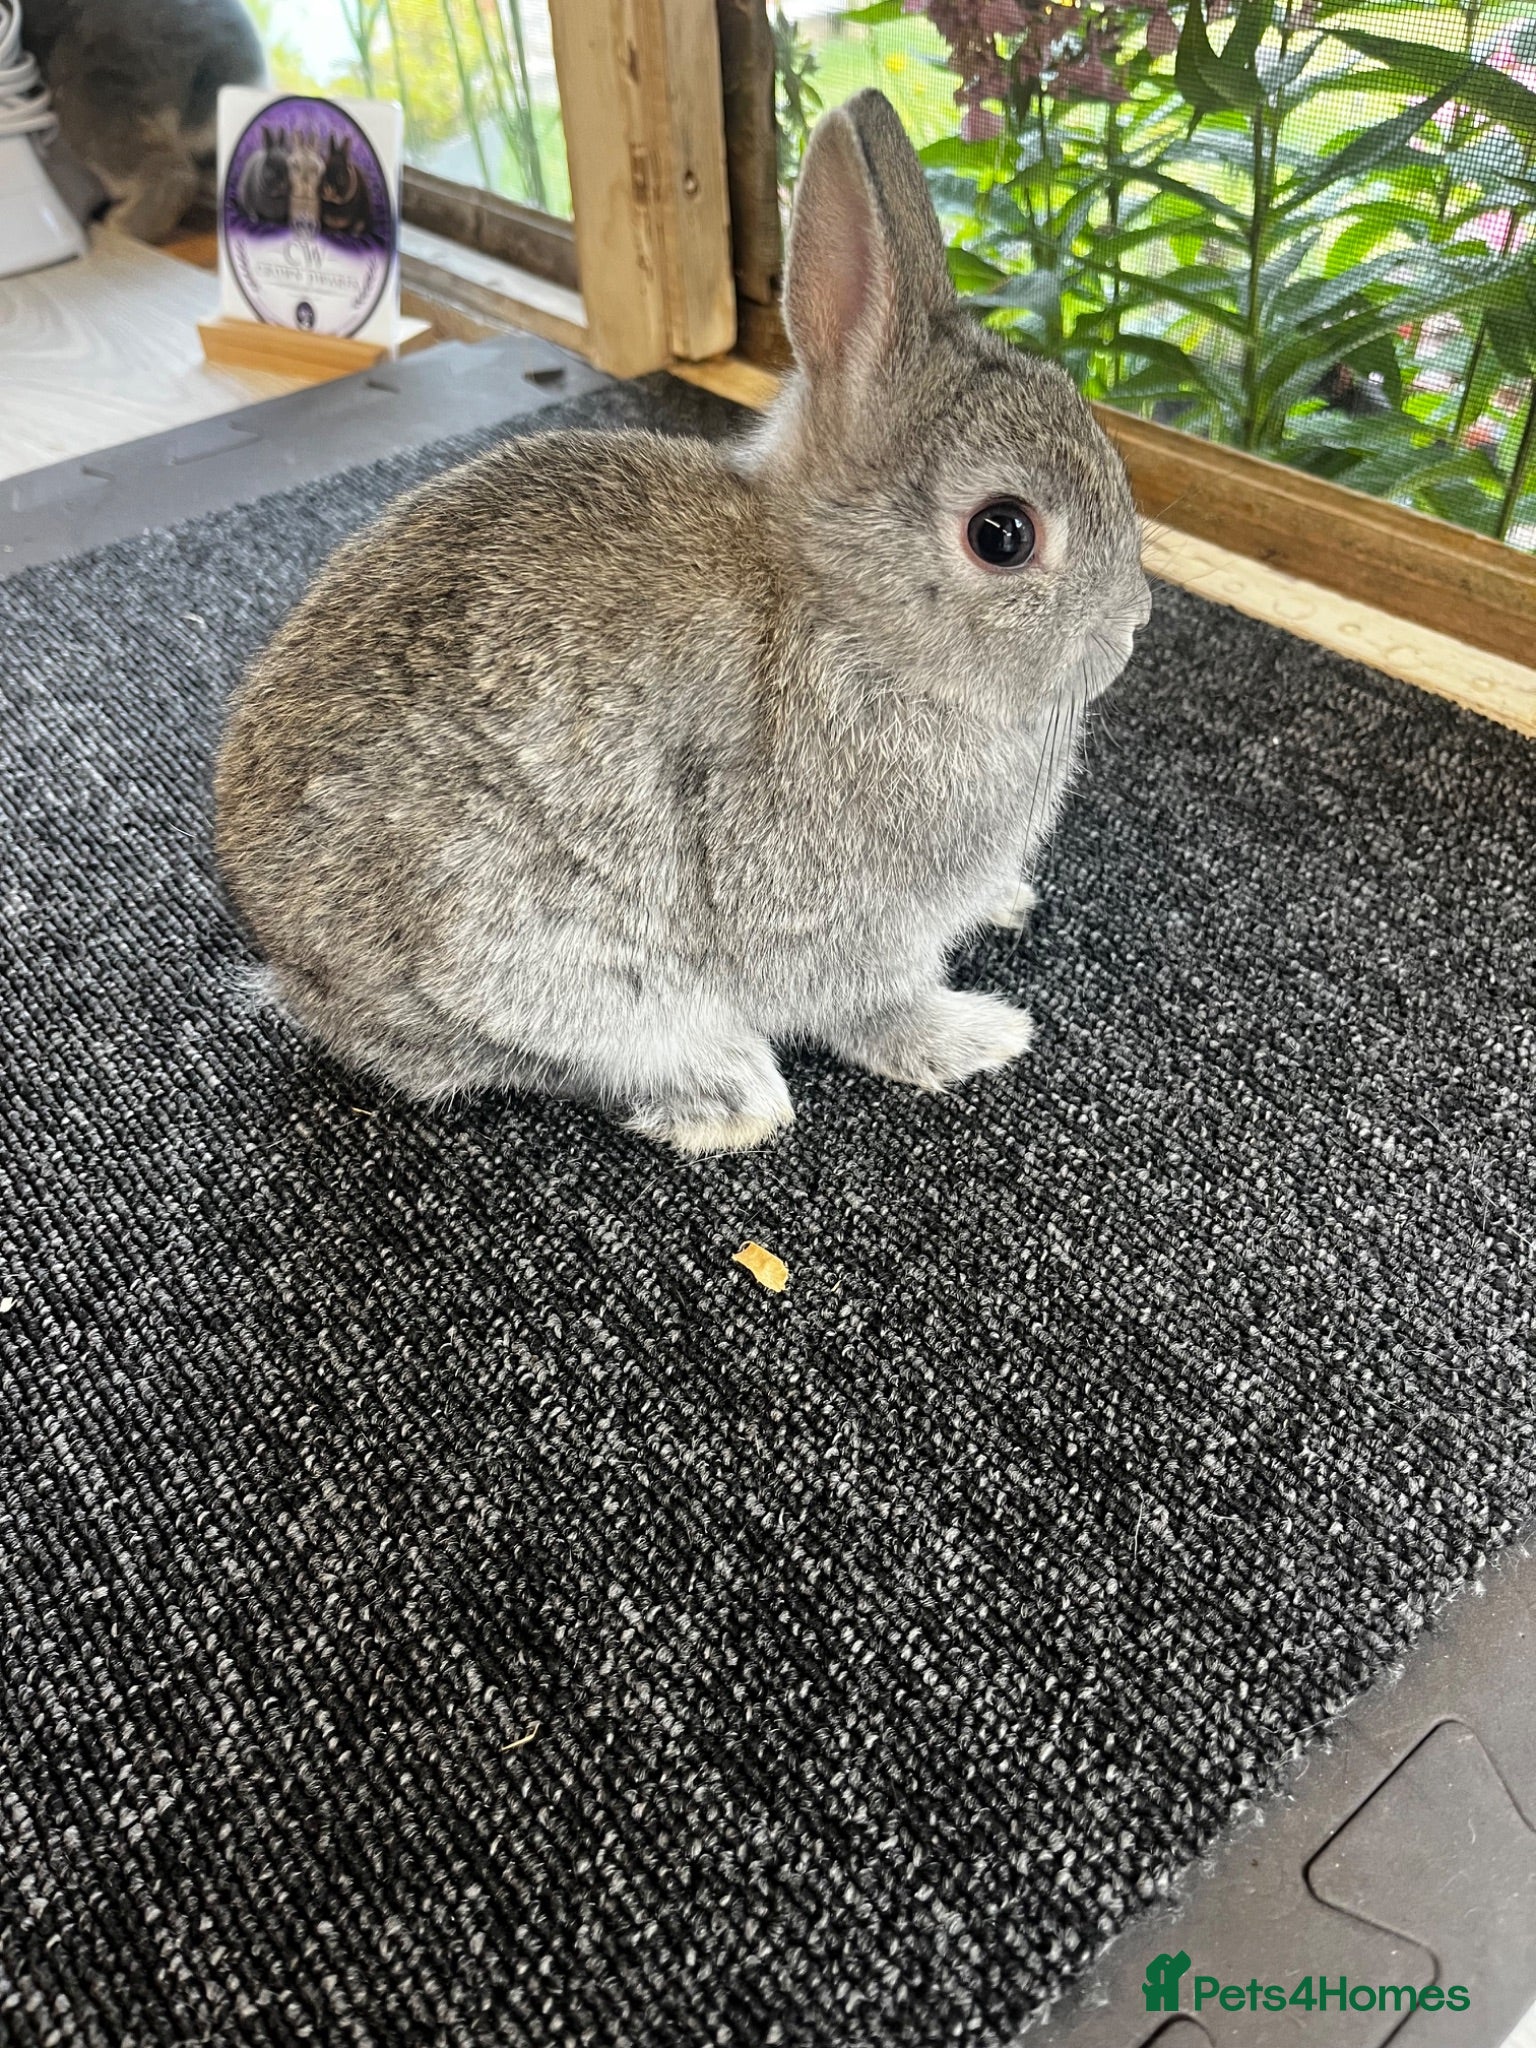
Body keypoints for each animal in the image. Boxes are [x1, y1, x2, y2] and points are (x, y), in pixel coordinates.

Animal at [214, 90, 1150, 1156]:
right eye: (1003, 534)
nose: (1132, 627)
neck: (843, 614)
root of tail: (296, 970)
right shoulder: (828, 918)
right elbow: (874, 1004)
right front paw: (975, 1037)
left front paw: (1007, 903)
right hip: (535, 955)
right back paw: (730, 1097)